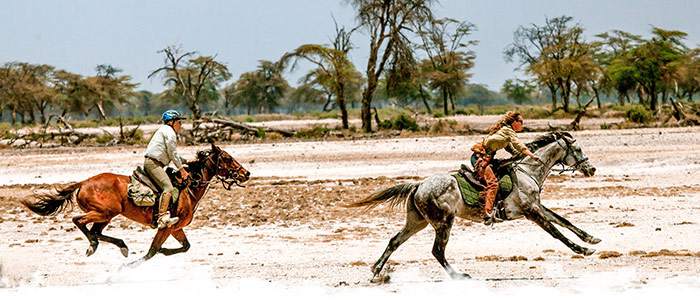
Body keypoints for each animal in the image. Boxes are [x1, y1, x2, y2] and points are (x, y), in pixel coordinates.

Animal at [21, 143, 249, 268]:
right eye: (227, 158)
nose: (246, 173)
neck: (188, 187)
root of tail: (83, 182)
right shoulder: (167, 227)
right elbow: (152, 251)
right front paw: (129, 267)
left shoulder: (176, 228)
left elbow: (184, 247)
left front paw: (165, 251)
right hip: (104, 212)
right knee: (78, 220)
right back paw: (94, 245)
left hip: (106, 216)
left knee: (95, 231)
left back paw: (117, 246)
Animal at [348, 131, 596, 278]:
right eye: (578, 150)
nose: (591, 169)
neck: (527, 171)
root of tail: (419, 185)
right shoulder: (531, 212)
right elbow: (556, 232)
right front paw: (583, 250)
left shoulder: (537, 207)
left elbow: (564, 220)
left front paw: (591, 239)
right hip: (444, 222)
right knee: (437, 251)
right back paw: (458, 276)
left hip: (417, 223)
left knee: (395, 241)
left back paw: (376, 270)